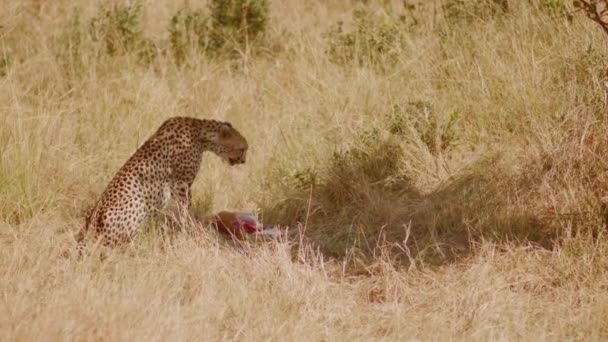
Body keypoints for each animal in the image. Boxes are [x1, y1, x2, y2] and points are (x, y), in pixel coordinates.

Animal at [75, 117, 247, 254]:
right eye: (242, 148)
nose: (244, 161)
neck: (199, 131)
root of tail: (90, 229)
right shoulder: (182, 185)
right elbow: (185, 211)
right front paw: (186, 229)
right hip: (136, 201)